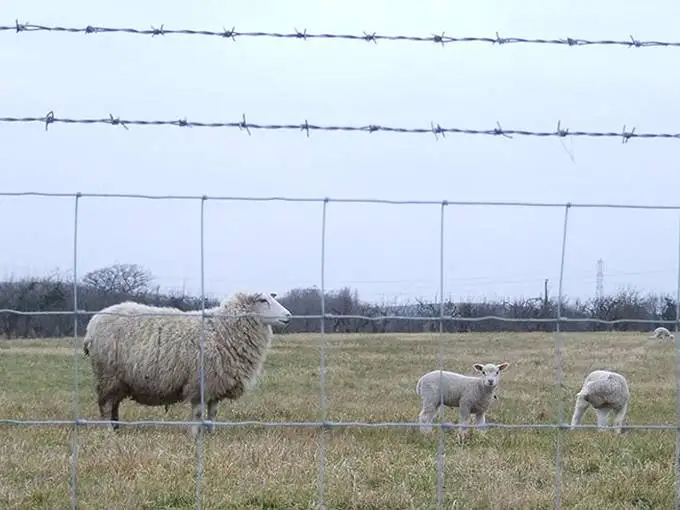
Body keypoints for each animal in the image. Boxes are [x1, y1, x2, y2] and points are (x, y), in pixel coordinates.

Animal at [85, 291, 292, 438]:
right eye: (263, 301)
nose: (289, 316)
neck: (221, 329)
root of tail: (93, 323)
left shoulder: (215, 382)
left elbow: (213, 412)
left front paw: (211, 434)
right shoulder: (200, 381)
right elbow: (198, 413)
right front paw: (193, 436)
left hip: (118, 380)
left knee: (113, 405)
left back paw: (117, 429)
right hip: (108, 375)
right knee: (106, 406)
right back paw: (109, 432)